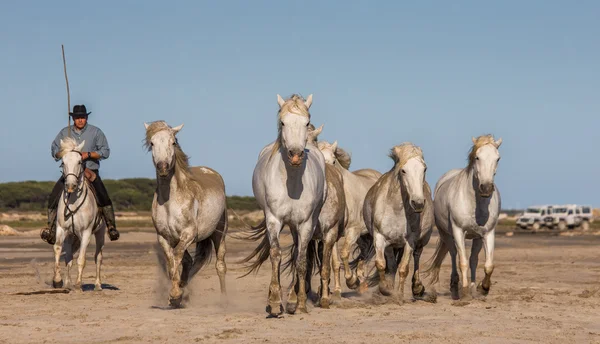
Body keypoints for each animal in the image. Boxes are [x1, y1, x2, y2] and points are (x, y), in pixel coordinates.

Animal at [53, 137, 106, 290]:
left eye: (79, 162)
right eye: (63, 162)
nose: (71, 185)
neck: (73, 202)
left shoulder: (86, 232)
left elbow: (81, 259)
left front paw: (78, 284)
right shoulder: (62, 229)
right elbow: (58, 249)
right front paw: (58, 280)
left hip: (100, 233)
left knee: (98, 257)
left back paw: (97, 284)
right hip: (70, 236)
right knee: (69, 257)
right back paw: (67, 283)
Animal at [144, 120, 229, 306]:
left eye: (173, 142)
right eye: (152, 143)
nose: (163, 167)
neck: (169, 202)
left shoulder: (188, 234)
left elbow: (176, 256)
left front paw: (176, 294)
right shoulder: (164, 237)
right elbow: (171, 261)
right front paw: (176, 293)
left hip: (219, 234)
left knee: (220, 265)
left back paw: (224, 300)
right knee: (190, 262)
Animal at [239, 94, 326, 318]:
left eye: (306, 122)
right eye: (283, 122)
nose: (295, 154)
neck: (292, 184)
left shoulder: (305, 224)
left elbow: (301, 259)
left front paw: (300, 303)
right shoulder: (274, 220)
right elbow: (276, 254)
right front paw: (274, 302)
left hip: (298, 226)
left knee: (296, 253)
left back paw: (294, 300)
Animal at [360, 144, 432, 302]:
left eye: (424, 169)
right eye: (403, 171)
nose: (418, 203)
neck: (397, 209)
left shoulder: (410, 240)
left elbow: (404, 268)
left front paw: (399, 296)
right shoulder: (380, 238)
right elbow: (381, 265)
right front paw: (386, 290)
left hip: (421, 241)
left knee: (416, 257)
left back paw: (417, 288)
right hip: (390, 245)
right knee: (392, 266)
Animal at [424, 136, 504, 300]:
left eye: (497, 158)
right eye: (477, 157)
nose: (486, 188)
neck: (474, 203)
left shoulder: (487, 233)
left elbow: (488, 265)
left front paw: (482, 288)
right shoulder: (458, 231)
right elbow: (462, 262)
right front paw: (465, 291)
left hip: (477, 238)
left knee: (473, 259)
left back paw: (473, 289)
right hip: (447, 235)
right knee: (454, 254)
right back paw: (455, 286)